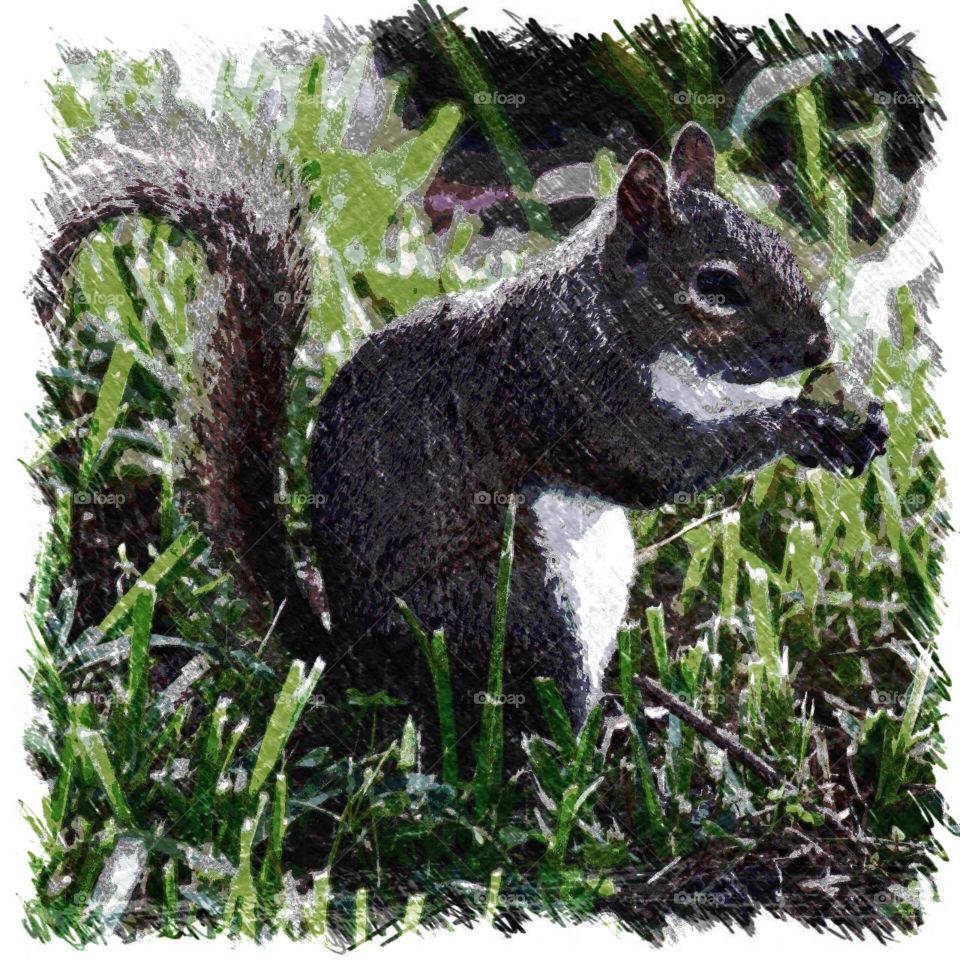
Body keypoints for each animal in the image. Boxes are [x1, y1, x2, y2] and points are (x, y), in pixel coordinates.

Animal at [37, 111, 888, 769]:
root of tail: (362, 676)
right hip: (520, 614)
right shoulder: (568, 394)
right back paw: (580, 766)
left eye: (780, 242)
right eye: (717, 287)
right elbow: (658, 465)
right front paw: (797, 425)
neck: (612, 313)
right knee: (527, 727)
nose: (817, 346)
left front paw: (852, 418)